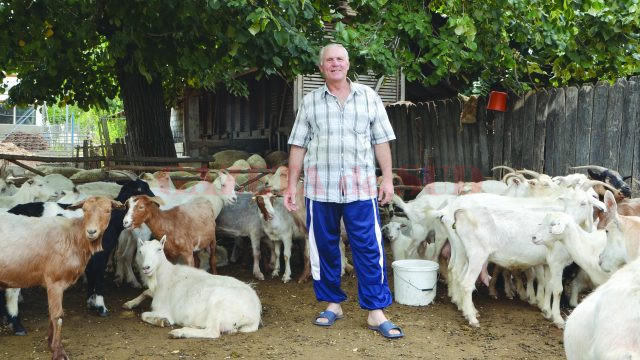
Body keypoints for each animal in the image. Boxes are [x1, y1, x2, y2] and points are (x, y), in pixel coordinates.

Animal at [0, 197, 122, 360]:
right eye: (84, 210)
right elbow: (57, 316)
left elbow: (52, 314)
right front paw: (58, 352)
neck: (73, 235)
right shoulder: (55, 281)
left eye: (108, 211)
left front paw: (50, 344)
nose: (91, 231)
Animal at [122, 238, 262, 338]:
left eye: (159, 249)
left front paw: (162, 321)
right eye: (140, 252)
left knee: (213, 332)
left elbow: (144, 315)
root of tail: (255, 315)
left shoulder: (164, 310)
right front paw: (129, 303)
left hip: (217, 304)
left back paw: (179, 333)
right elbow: (145, 292)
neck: (164, 276)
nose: (146, 268)